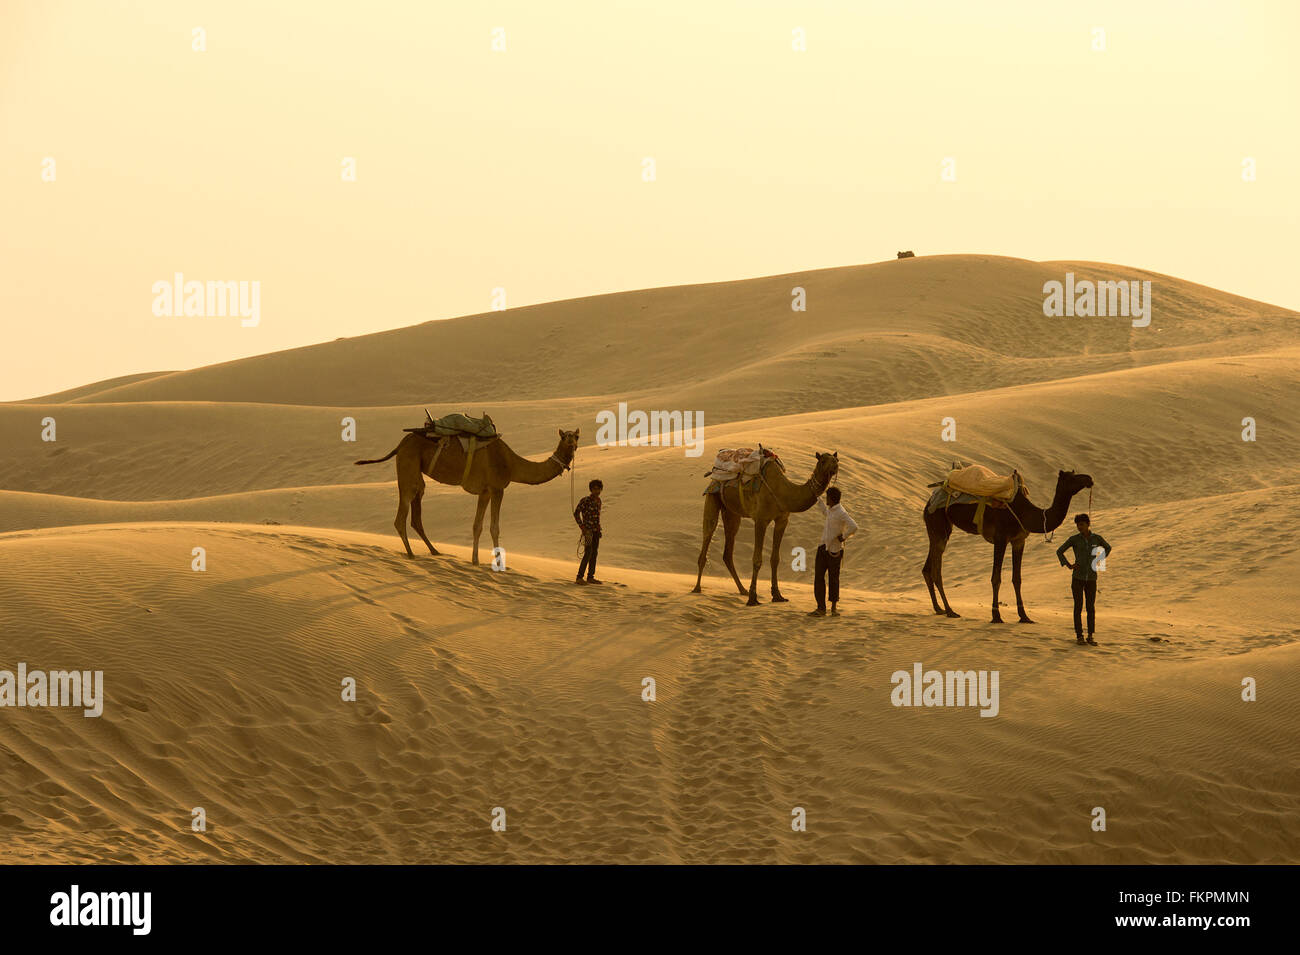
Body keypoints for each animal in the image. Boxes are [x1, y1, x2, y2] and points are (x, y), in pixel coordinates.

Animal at [356, 413, 579, 563]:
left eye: (576, 436)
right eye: (564, 436)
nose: (571, 442)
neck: (511, 463)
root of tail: (400, 444)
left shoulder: (485, 491)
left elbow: (476, 526)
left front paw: (475, 560)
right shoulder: (498, 488)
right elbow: (494, 527)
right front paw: (498, 564)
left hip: (415, 472)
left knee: (416, 513)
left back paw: (434, 551)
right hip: (408, 465)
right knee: (402, 513)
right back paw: (411, 554)